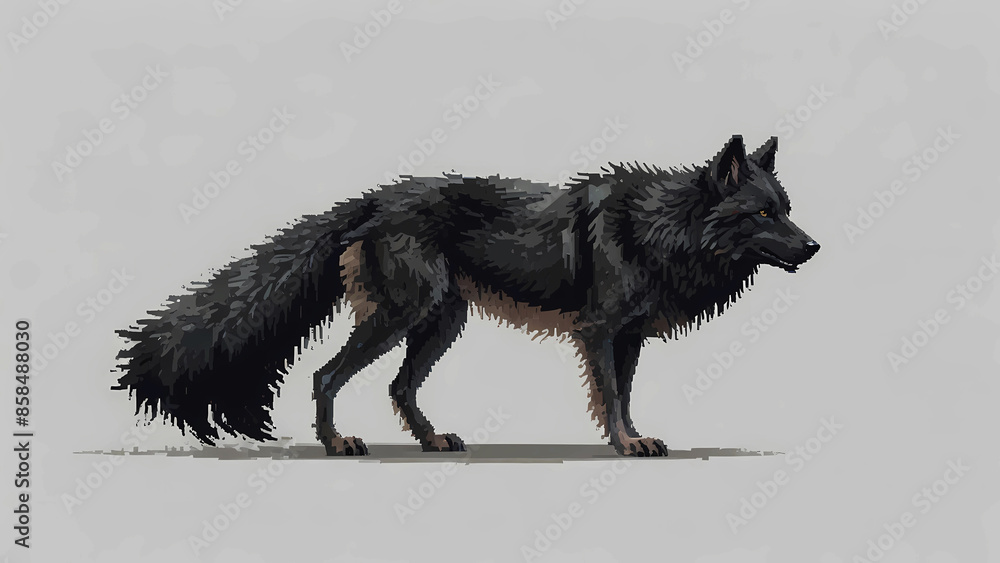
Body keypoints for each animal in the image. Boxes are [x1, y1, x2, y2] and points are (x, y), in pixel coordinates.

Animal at [113, 134, 819, 457]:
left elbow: (626, 395)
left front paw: (635, 439)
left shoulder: (629, 339)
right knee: (324, 375)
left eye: (785, 208)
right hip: (402, 317)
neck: (662, 226)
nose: (814, 247)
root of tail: (372, 199)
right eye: (763, 214)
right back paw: (337, 445)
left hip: (440, 323)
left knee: (398, 387)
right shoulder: (597, 332)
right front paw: (624, 445)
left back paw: (431, 442)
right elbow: (612, 397)